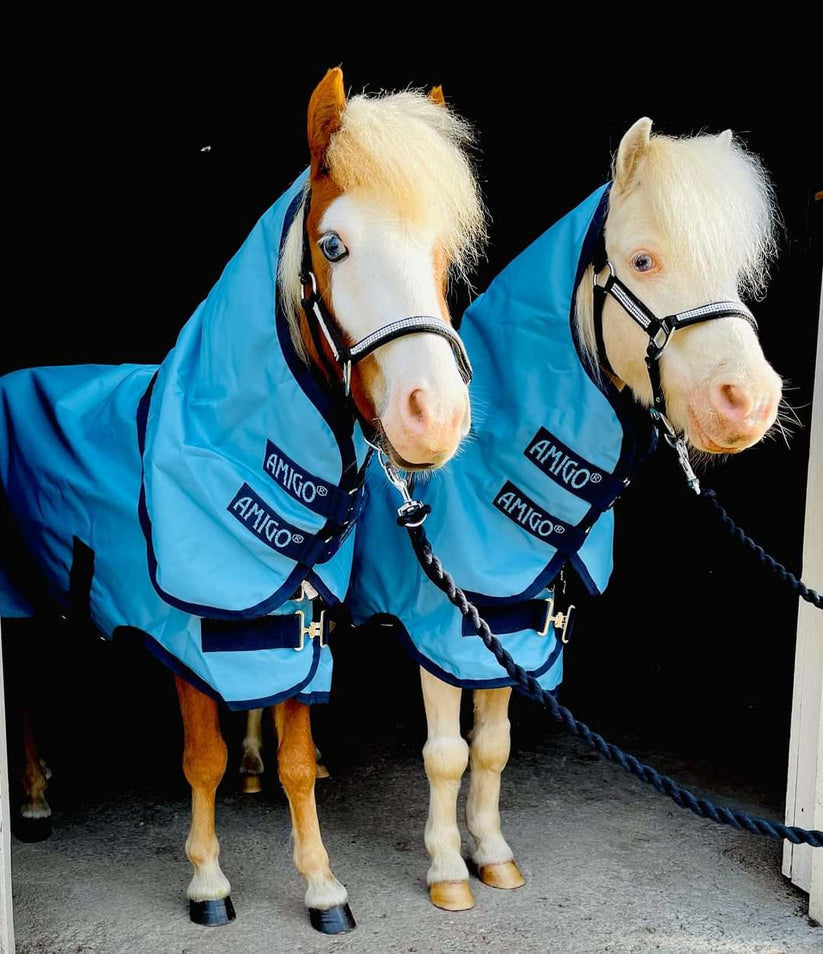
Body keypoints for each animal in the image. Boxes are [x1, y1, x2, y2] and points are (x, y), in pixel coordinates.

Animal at [0, 68, 486, 934]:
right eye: (334, 246)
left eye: (441, 251)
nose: (433, 418)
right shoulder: (184, 633)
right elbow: (203, 759)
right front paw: (209, 884)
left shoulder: (298, 623)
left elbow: (293, 760)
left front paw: (323, 888)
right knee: (22, 683)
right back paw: (29, 801)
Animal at [347, 117, 783, 912]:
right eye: (642, 260)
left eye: (733, 273)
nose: (750, 402)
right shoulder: (439, 630)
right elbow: (446, 754)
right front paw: (447, 871)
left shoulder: (511, 630)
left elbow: (492, 750)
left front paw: (492, 854)